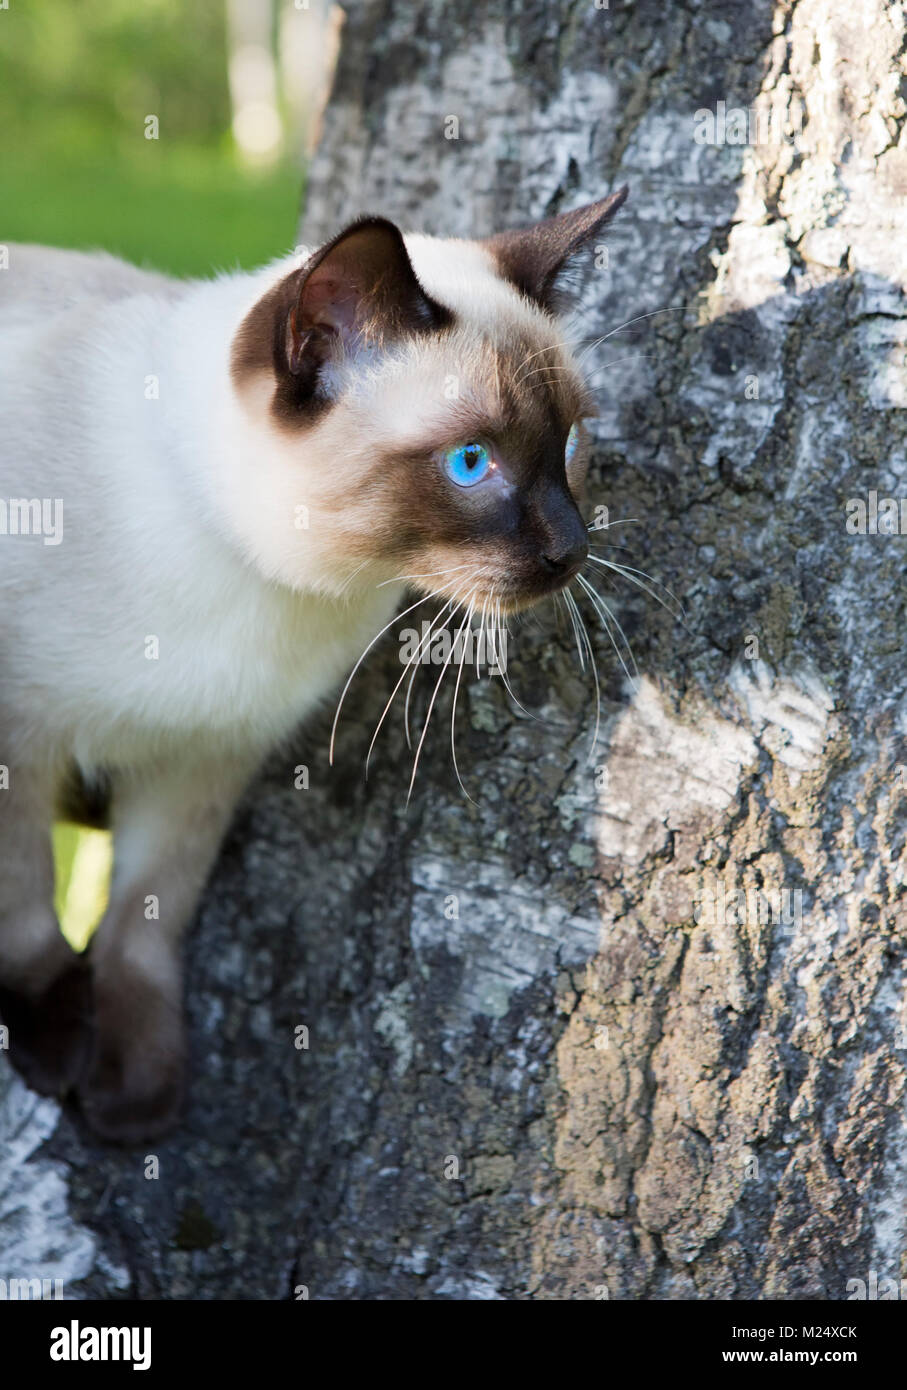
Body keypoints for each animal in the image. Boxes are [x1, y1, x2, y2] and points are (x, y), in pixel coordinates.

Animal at [0, 187, 625, 1139]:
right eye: (470, 463)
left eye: (570, 444)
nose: (570, 550)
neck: (250, 581)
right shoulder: (20, 736)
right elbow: (24, 899)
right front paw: (53, 1037)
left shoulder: (200, 762)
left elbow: (145, 922)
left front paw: (136, 1095)